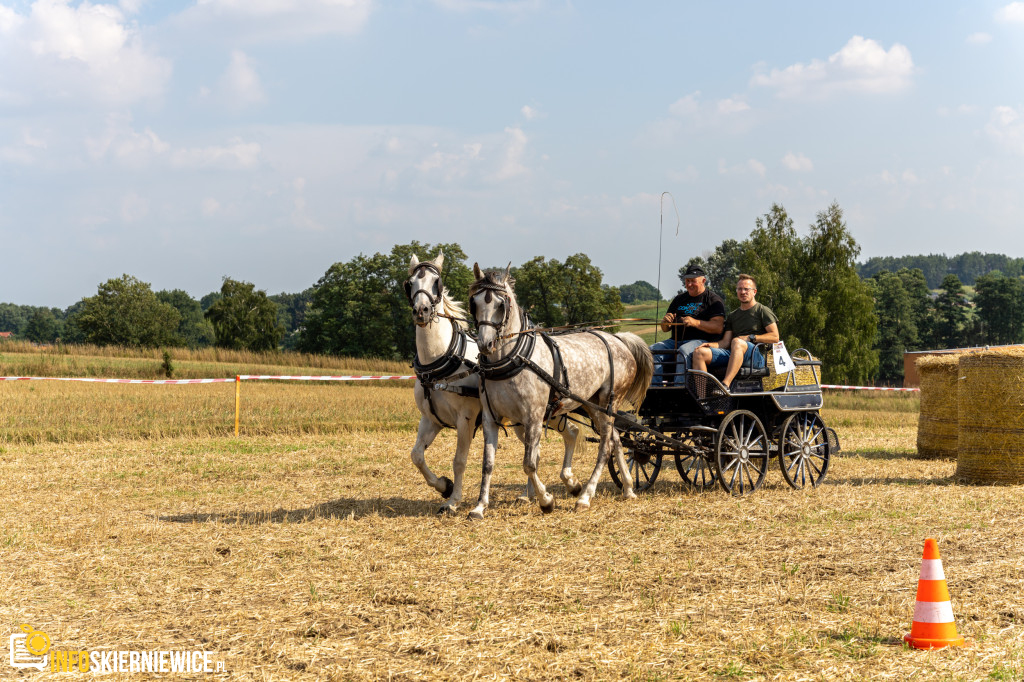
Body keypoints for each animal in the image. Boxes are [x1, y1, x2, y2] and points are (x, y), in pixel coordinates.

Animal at [405, 251, 585, 512]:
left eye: (436, 282)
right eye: (410, 283)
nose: (422, 311)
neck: (439, 360)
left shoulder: (466, 419)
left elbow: (459, 461)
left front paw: (453, 501)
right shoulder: (430, 419)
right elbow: (417, 456)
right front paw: (444, 486)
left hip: (545, 413)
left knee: (570, 433)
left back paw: (569, 484)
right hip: (522, 421)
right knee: (543, 449)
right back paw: (532, 494)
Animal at [468, 261, 651, 516]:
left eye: (501, 304)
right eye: (474, 303)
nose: (485, 344)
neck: (514, 358)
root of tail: (618, 339)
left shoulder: (533, 417)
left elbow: (529, 463)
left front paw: (546, 500)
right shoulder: (490, 418)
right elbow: (488, 464)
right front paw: (479, 506)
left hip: (610, 401)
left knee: (605, 446)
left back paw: (585, 496)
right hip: (592, 405)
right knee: (615, 438)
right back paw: (628, 488)